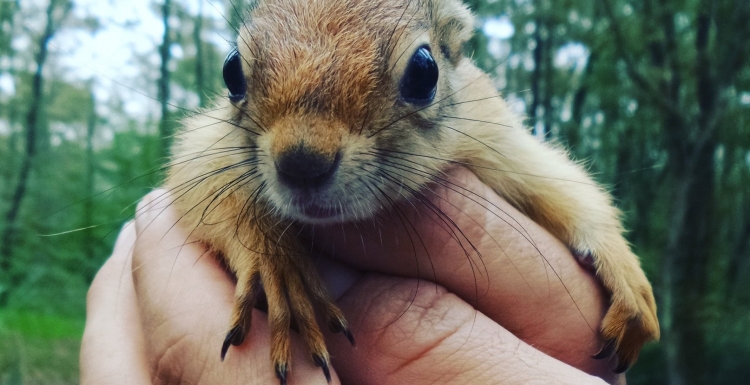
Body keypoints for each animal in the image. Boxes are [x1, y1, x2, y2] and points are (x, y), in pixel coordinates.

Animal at [166, 0, 664, 380]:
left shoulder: (497, 135)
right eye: (231, 70)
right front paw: (278, 262)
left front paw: (622, 268)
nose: (302, 163)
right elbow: (201, 178)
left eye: (425, 72)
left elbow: (561, 183)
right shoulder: (206, 143)